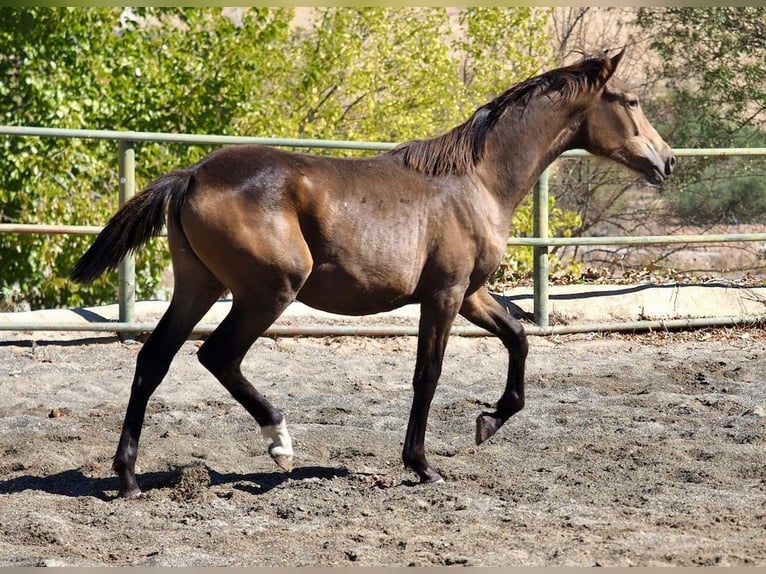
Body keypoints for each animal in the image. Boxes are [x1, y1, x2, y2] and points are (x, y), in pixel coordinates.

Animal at [70, 49, 675, 498]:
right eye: (631, 100)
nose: (667, 161)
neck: (477, 180)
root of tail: (191, 173)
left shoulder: (470, 293)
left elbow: (518, 337)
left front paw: (488, 422)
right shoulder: (444, 295)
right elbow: (427, 375)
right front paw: (423, 465)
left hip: (200, 287)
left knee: (153, 361)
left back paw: (127, 477)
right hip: (268, 292)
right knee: (216, 356)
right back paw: (279, 442)